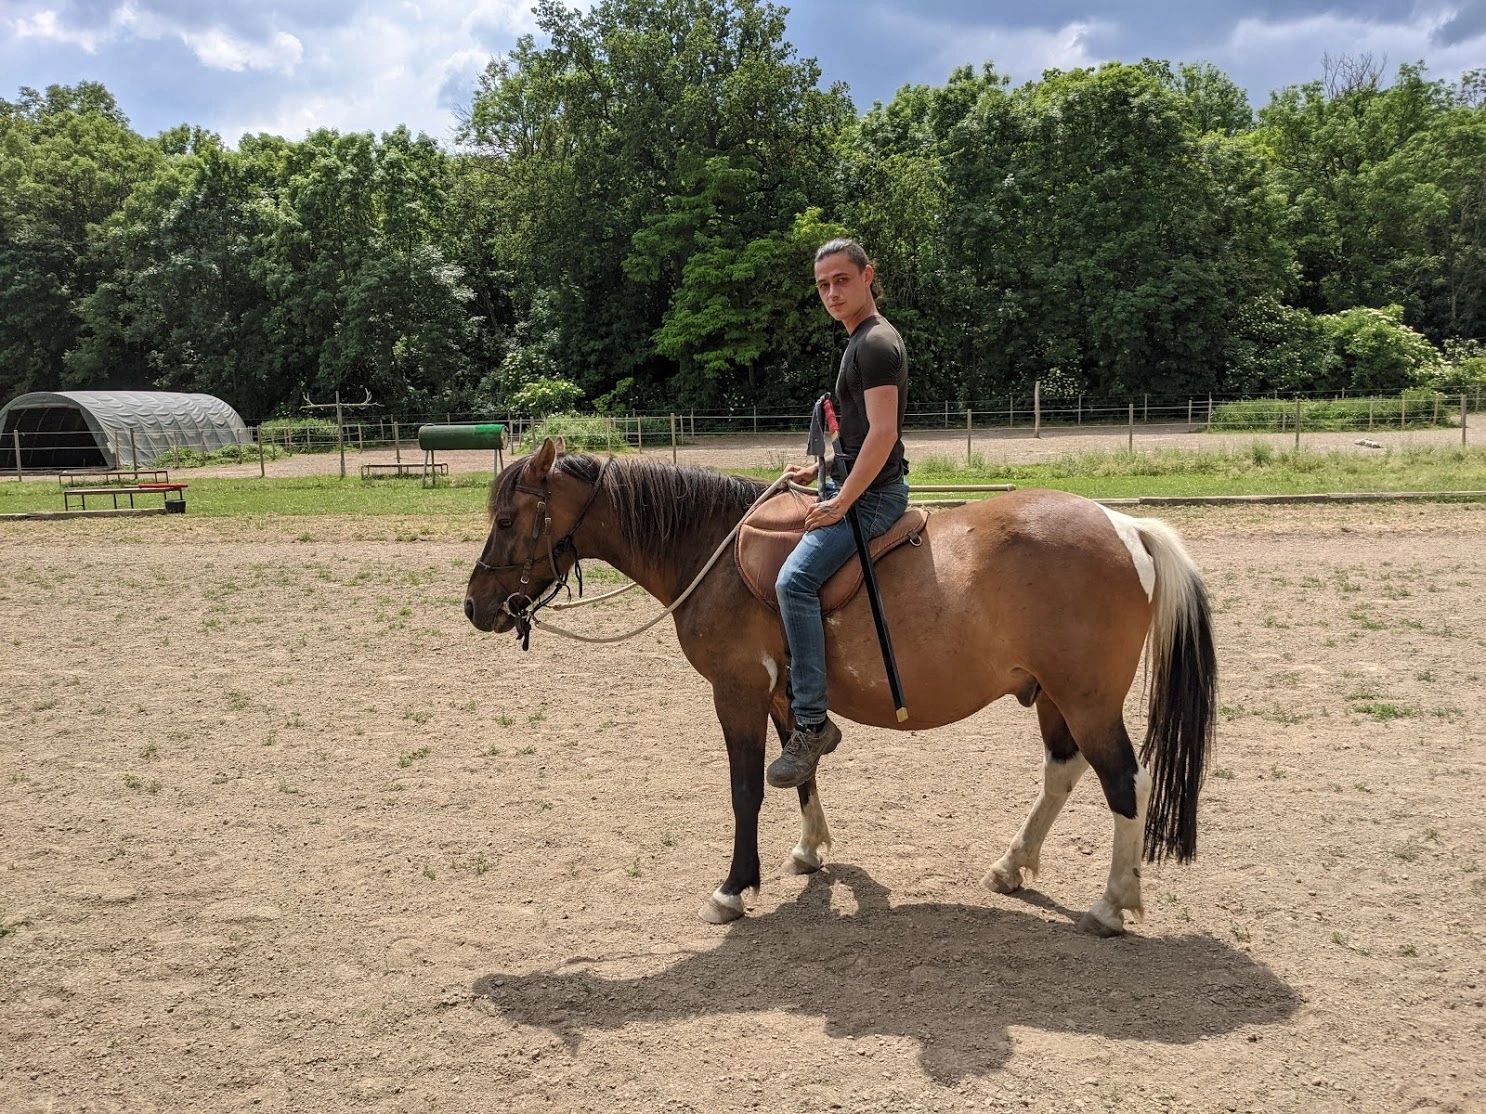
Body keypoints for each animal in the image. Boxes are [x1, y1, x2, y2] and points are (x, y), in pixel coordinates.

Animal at [463, 438, 1217, 936]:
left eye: (505, 520)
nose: (475, 606)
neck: (713, 549)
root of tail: (1125, 526)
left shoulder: (736, 692)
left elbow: (746, 789)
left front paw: (733, 888)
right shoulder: (783, 698)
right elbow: (800, 772)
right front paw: (809, 850)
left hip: (1087, 700)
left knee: (1125, 781)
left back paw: (1112, 903)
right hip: (1054, 697)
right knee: (1063, 771)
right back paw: (1012, 865)